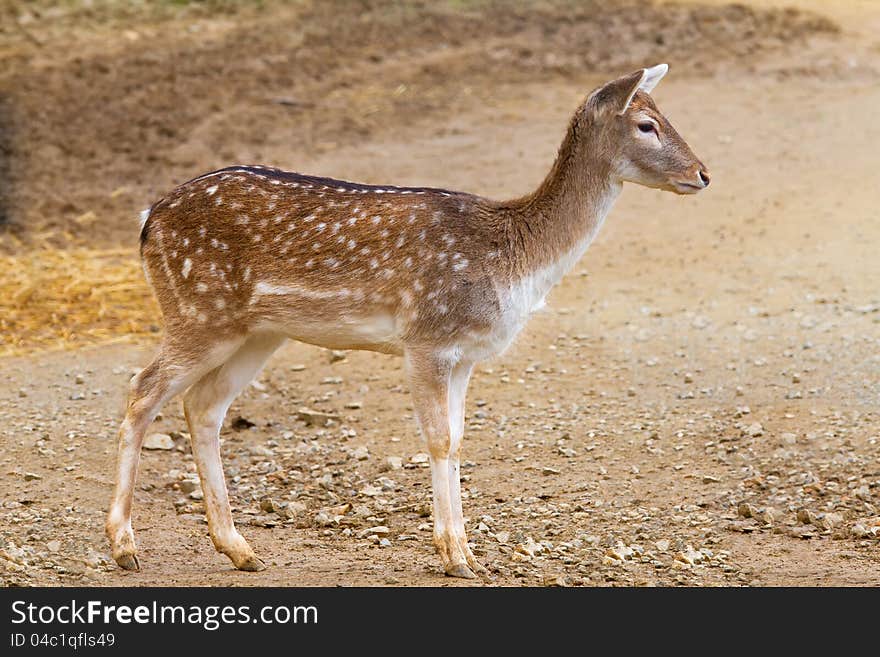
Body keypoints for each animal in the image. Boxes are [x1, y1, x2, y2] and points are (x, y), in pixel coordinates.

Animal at [106, 65, 708, 580]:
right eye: (647, 124)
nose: (702, 174)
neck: (515, 262)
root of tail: (147, 220)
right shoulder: (427, 339)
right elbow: (438, 441)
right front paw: (455, 557)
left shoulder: (465, 356)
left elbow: (459, 440)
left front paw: (465, 552)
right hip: (197, 312)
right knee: (142, 390)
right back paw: (125, 546)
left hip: (257, 332)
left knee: (203, 406)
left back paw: (239, 549)